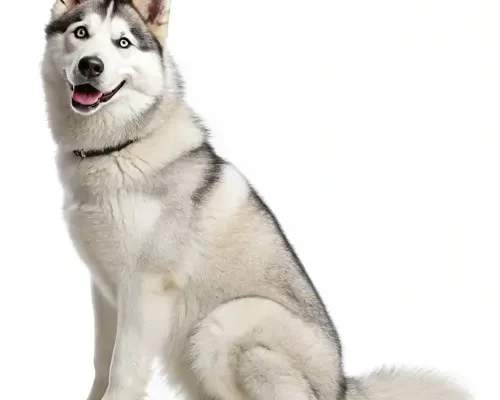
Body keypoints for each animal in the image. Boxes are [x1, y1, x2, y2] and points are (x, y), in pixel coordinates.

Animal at [41, 0, 470, 399]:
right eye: (81, 33)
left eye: (123, 42)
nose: (91, 66)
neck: (120, 146)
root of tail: (341, 385)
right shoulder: (106, 290)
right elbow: (102, 364)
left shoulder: (144, 288)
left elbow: (123, 372)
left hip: (225, 323)